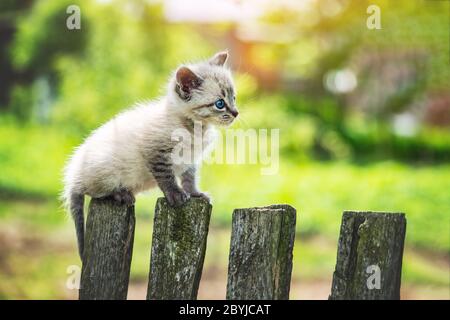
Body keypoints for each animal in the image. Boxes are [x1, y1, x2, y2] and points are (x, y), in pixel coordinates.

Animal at [64, 52, 239, 258]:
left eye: (234, 97)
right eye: (220, 104)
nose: (236, 113)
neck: (196, 128)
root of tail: (73, 176)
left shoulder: (190, 160)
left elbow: (189, 178)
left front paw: (195, 193)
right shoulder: (156, 153)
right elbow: (167, 177)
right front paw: (176, 195)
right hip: (104, 171)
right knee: (95, 192)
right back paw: (121, 194)